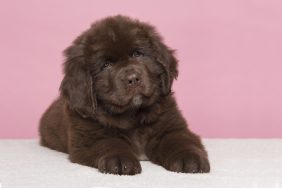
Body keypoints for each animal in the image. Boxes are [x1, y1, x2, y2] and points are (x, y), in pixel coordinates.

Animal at [40, 15, 212, 176]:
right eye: (106, 65)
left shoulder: (172, 126)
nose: (133, 78)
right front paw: (120, 160)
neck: (133, 116)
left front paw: (189, 159)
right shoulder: (89, 138)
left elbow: (179, 140)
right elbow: (110, 143)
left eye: (138, 54)